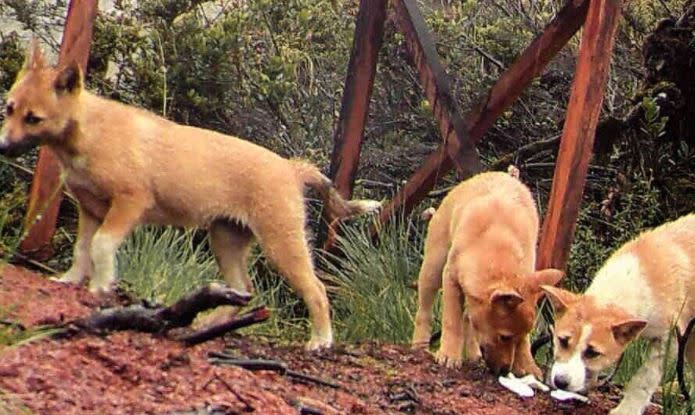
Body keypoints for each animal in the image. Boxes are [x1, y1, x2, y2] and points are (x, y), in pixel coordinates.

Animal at [0, 41, 380, 352]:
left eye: (33, 119)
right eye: (9, 109)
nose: (2, 147)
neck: (89, 131)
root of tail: (291, 168)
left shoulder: (129, 203)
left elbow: (102, 246)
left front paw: (101, 286)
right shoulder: (90, 211)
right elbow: (82, 250)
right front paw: (70, 281)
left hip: (281, 245)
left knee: (316, 290)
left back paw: (321, 340)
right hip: (225, 241)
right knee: (241, 290)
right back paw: (207, 325)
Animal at [414, 171, 564, 378]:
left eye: (518, 336)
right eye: (504, 337)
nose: (504, 371)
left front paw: (527, 366)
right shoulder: (451, 278)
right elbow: (452, 320)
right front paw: (449, 355)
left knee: (468, 318)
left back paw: (473, 354)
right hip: (433, 267)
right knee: (425, 311)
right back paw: (419, 345)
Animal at [544, 214, 695, 415]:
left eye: (592, 352)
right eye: (562, 341)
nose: (560, 382)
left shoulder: (668, 339)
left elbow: (644, 378)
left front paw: (627, 409)